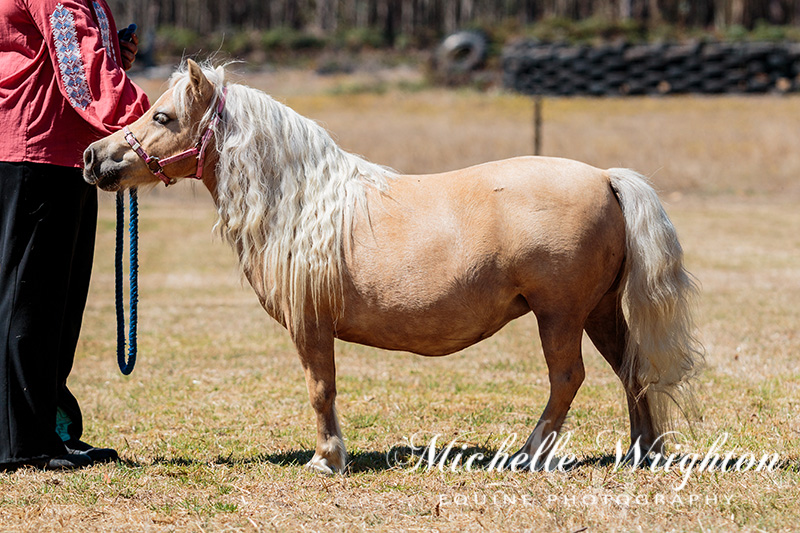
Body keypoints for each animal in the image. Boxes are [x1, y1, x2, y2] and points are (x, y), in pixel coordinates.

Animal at [84, 61, 704, 474]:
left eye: (163, 115)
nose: (94, 157)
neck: (303, 203)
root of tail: (604, 176)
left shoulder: (311, 326)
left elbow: (321, 389)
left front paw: (327, 459)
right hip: (598, 312)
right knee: (631, 369)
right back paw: (643, 453)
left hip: (561, 315)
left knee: (568, 379)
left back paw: (529, 455)